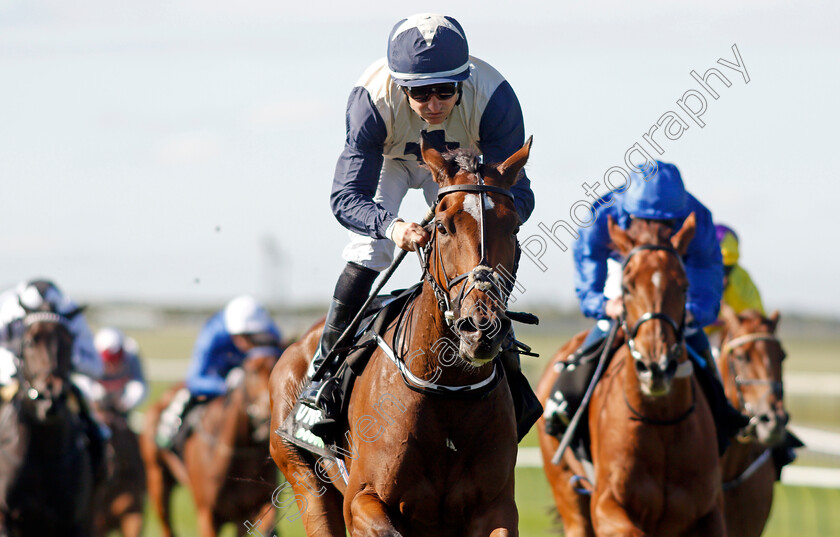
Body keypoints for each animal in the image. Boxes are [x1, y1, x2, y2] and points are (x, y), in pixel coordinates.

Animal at [270, 135, 532, 536]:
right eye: (443, 226)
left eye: (514, 226)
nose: (480, 327)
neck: (448, 388)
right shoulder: (361, 500)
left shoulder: (495, 507)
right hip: (305, 478)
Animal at [540, 215, 728, 536]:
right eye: (627, 287)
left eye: (684, 287)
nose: (656, 367)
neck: (662, 421)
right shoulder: (606, 504)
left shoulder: (709, 511)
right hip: (568, 494)